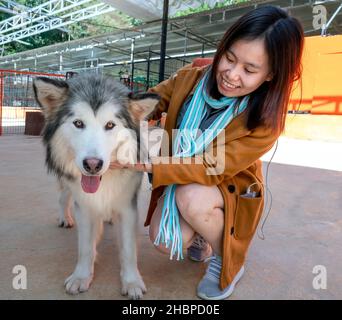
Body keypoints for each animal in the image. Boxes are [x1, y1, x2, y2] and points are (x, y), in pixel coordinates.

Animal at [32, 74, 160, 298]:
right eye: (78, 123)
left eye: (110, 125)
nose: (92, 165)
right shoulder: (84, 207)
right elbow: (84, 247)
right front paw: (81, 276)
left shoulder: (127, 207)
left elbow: (128, 250)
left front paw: (132, 282)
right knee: (63, 197)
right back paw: (64, 218)